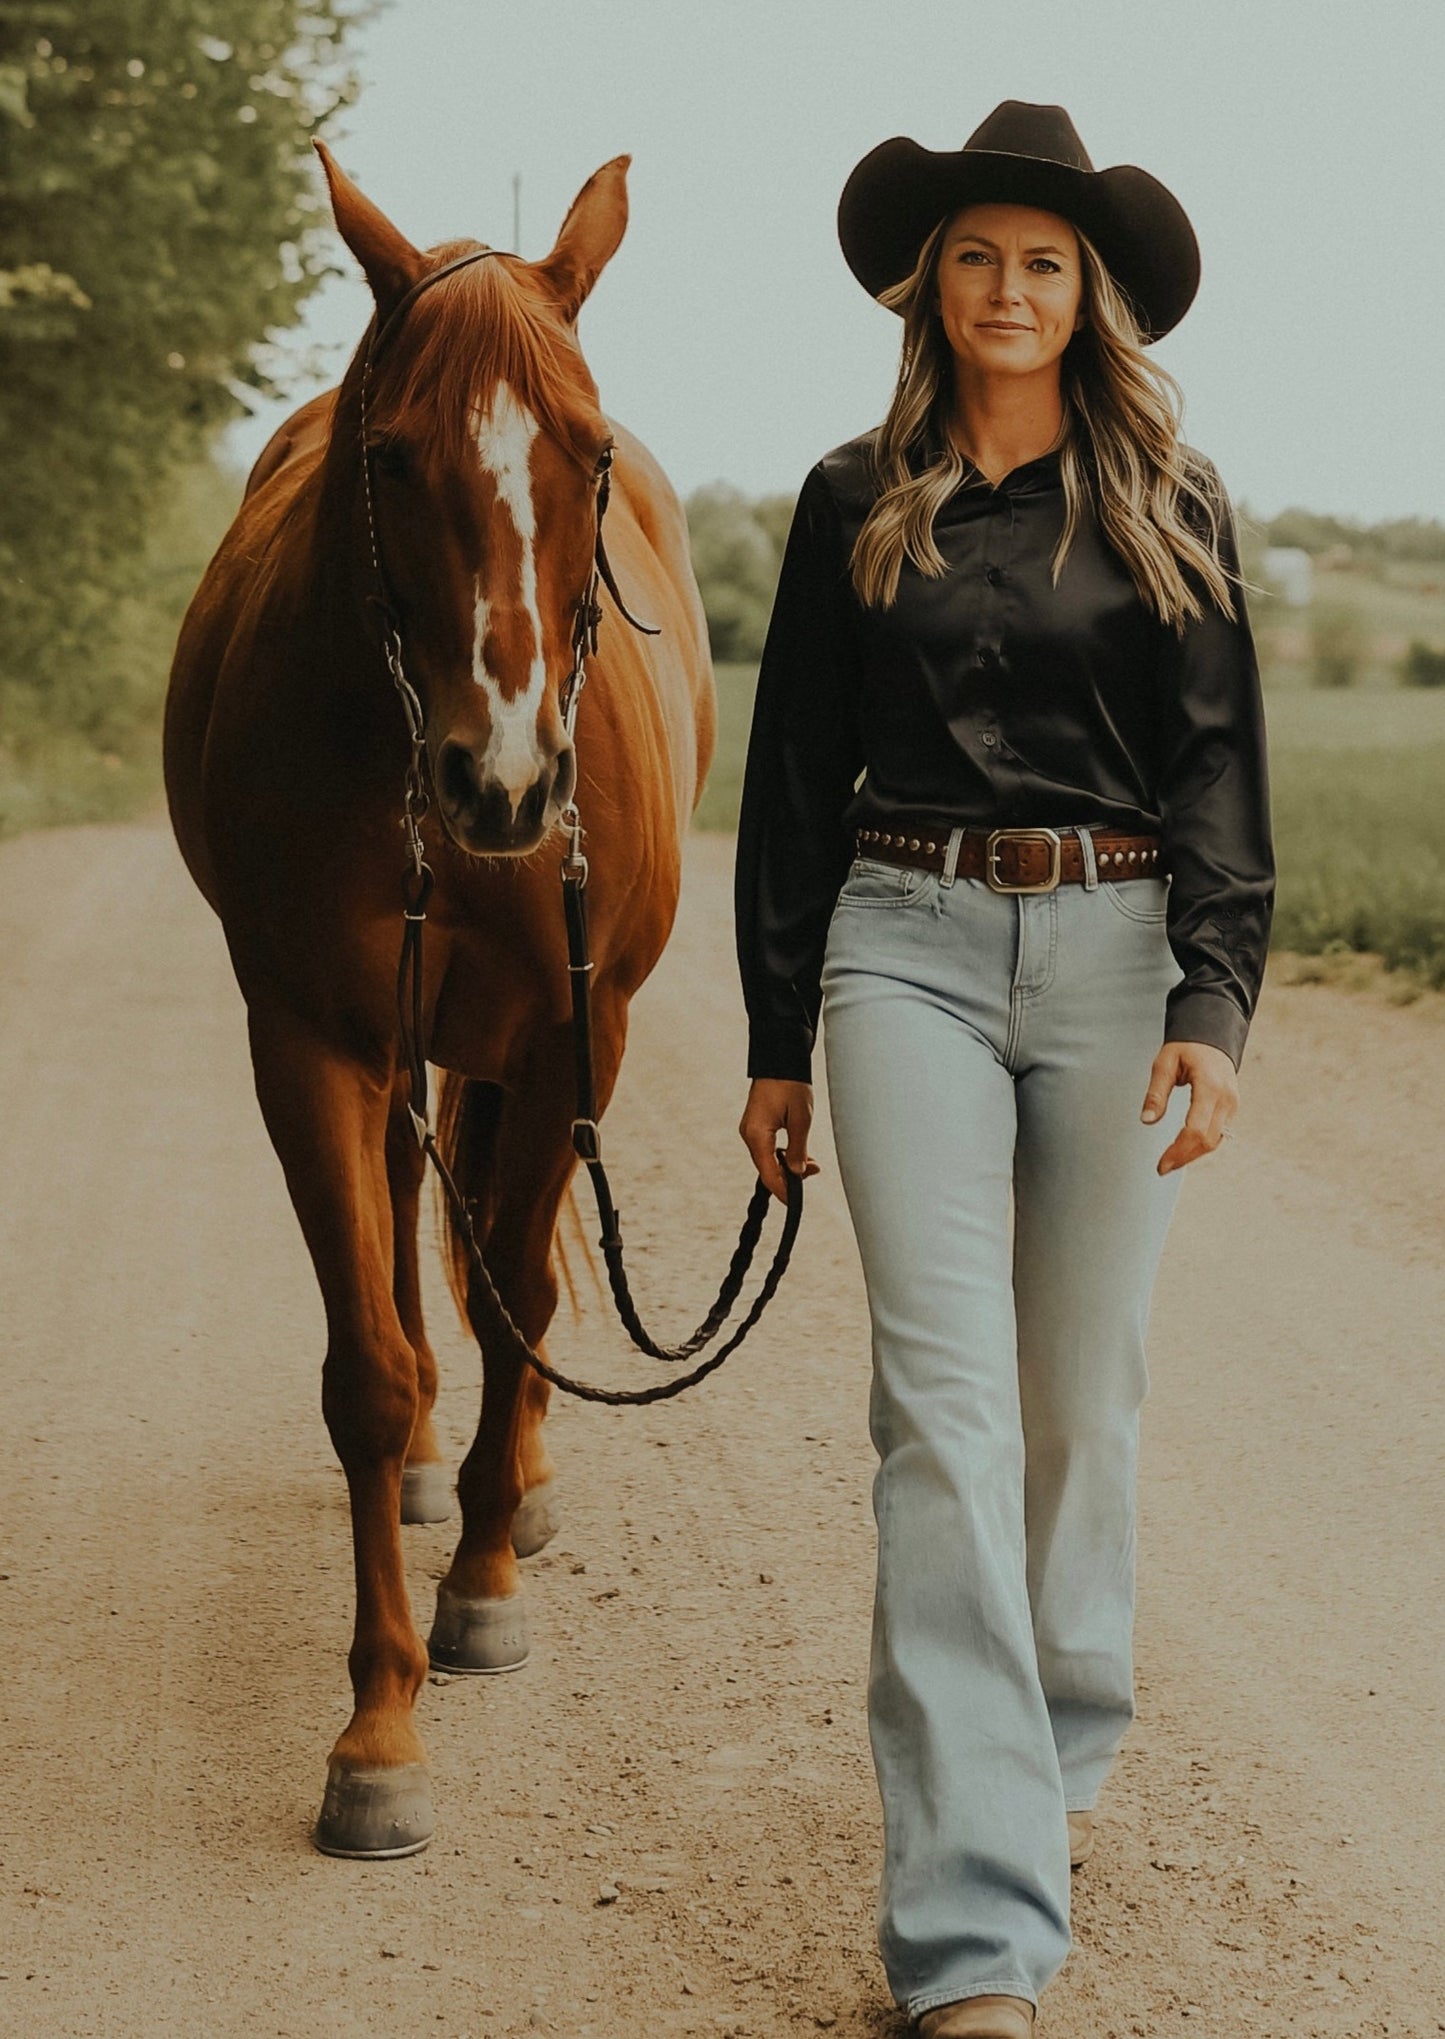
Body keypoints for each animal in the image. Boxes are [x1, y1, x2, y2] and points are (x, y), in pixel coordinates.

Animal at [166, 143, 713, 1859]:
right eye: (392, 456)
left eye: (586, 450)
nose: (507, 779)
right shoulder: (311, 1040)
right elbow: (371, 1361)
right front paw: (380, 1725)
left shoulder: (571, 1034)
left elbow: (522, 1293)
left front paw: (479, 1581)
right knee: (418, 1235)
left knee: (506, 1272)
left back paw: (507, 1493)